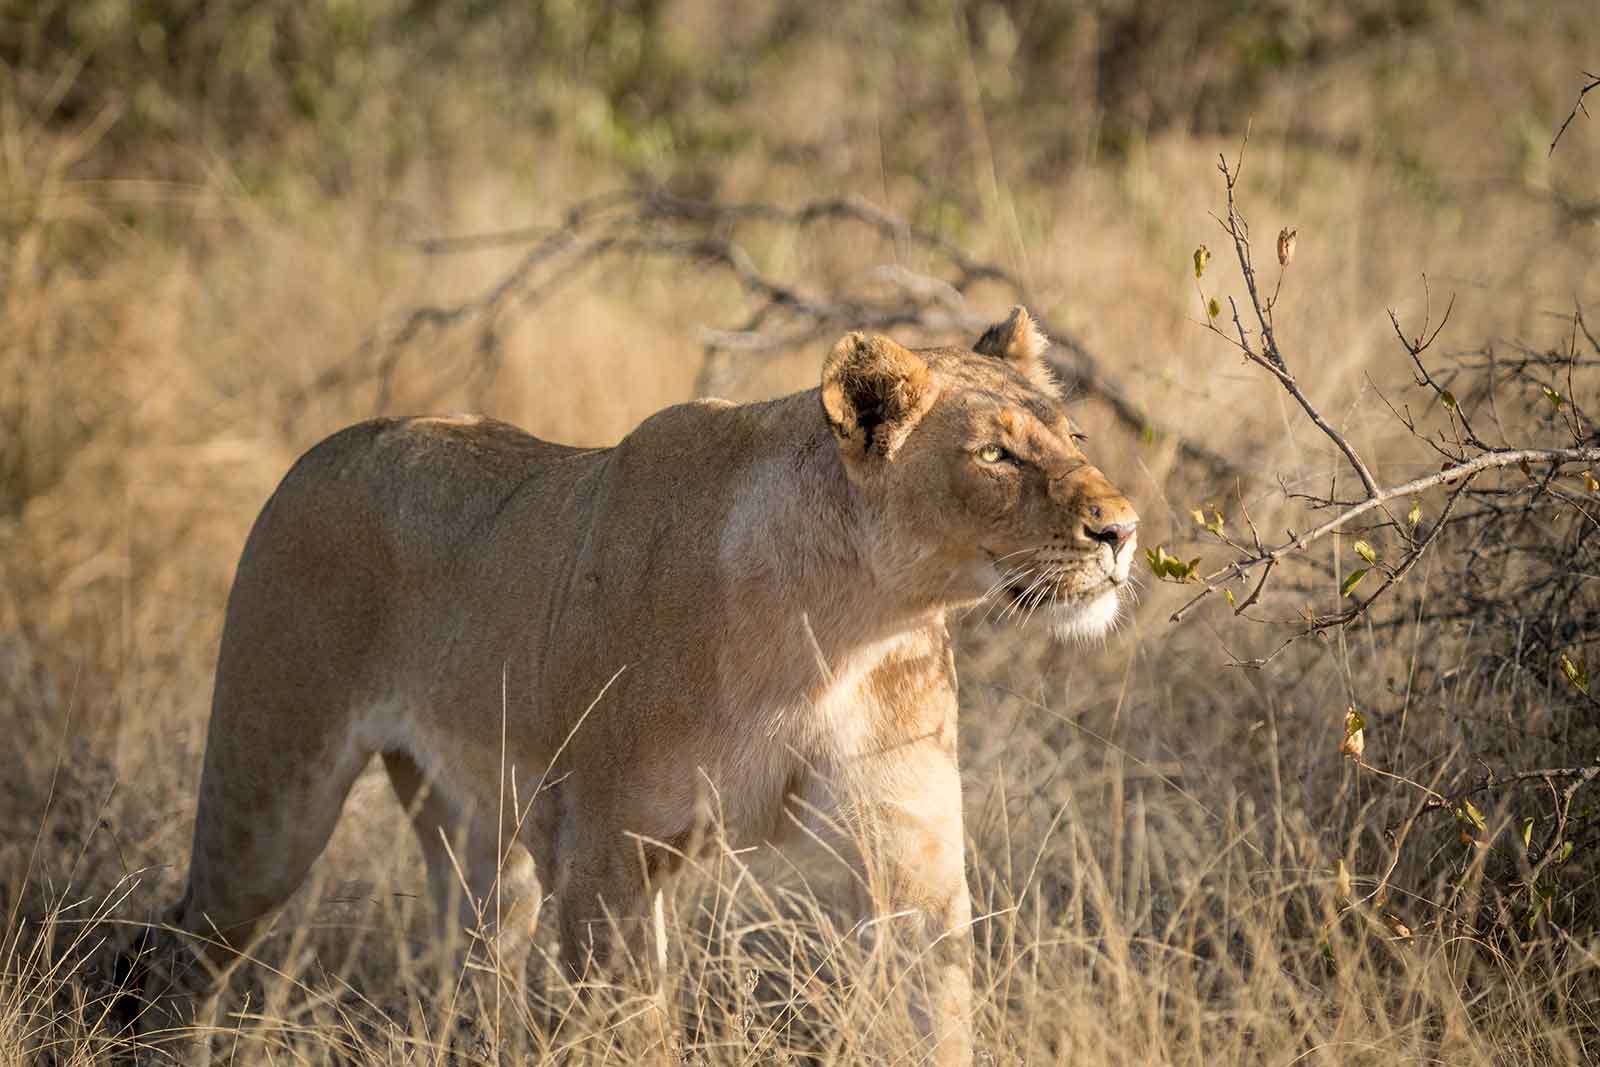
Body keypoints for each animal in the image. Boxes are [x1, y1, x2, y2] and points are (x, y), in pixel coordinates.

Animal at [139, 306, 1138, 1065]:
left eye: (1075, 438)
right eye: (996, 457)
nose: (1122, 530)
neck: (841, 627)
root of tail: (329, 445)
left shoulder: (910, 859)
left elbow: (934, 1021)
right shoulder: (608, 855)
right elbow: (629, 1030)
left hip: (485, 846)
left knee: (475, 973)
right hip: (270, 797)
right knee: (186, 948)